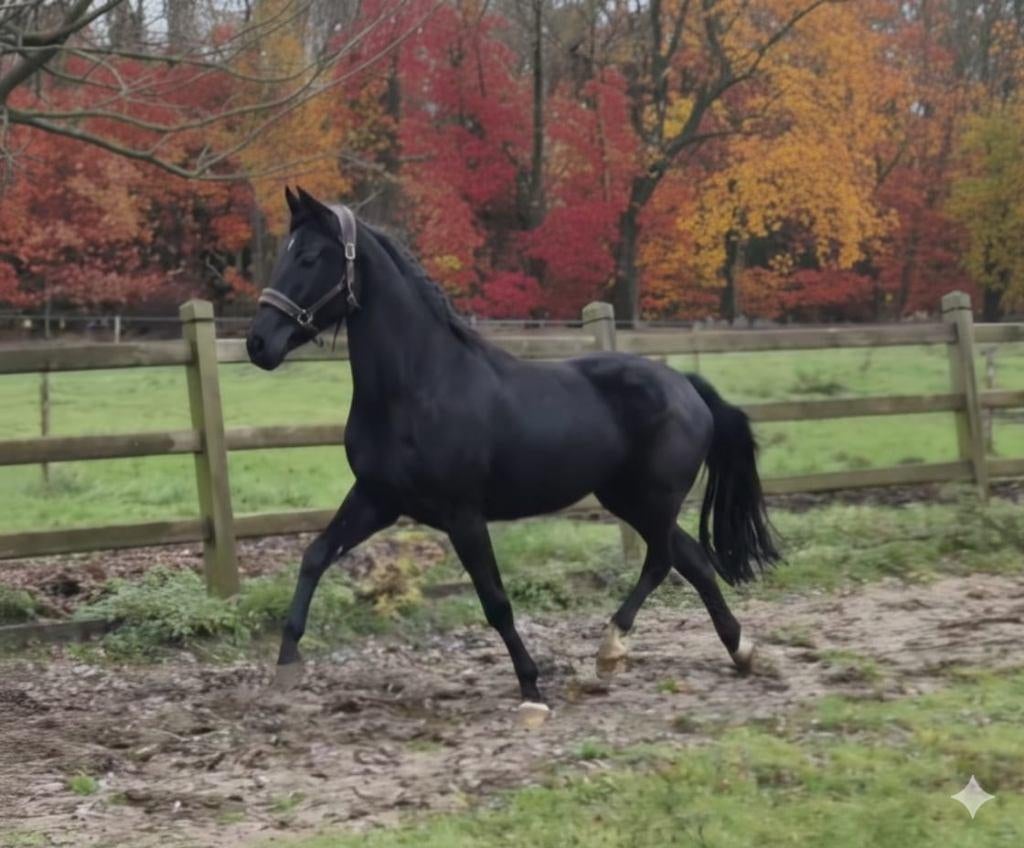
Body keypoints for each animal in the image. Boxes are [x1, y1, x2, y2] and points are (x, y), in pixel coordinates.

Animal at [246, 187, 778, 726]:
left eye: (310, 256)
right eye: (284, 254)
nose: (258, 343)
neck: (419, 386)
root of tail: (686, 385)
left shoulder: (462, 515)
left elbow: (495, 600)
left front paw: (531, 690)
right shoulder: (377, 499)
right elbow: (314, 556)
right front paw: (286, 665)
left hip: (652, 499)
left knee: (663, 559)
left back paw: (609, 651)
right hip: (628, 499)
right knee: (692, 560)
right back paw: (742, 651)